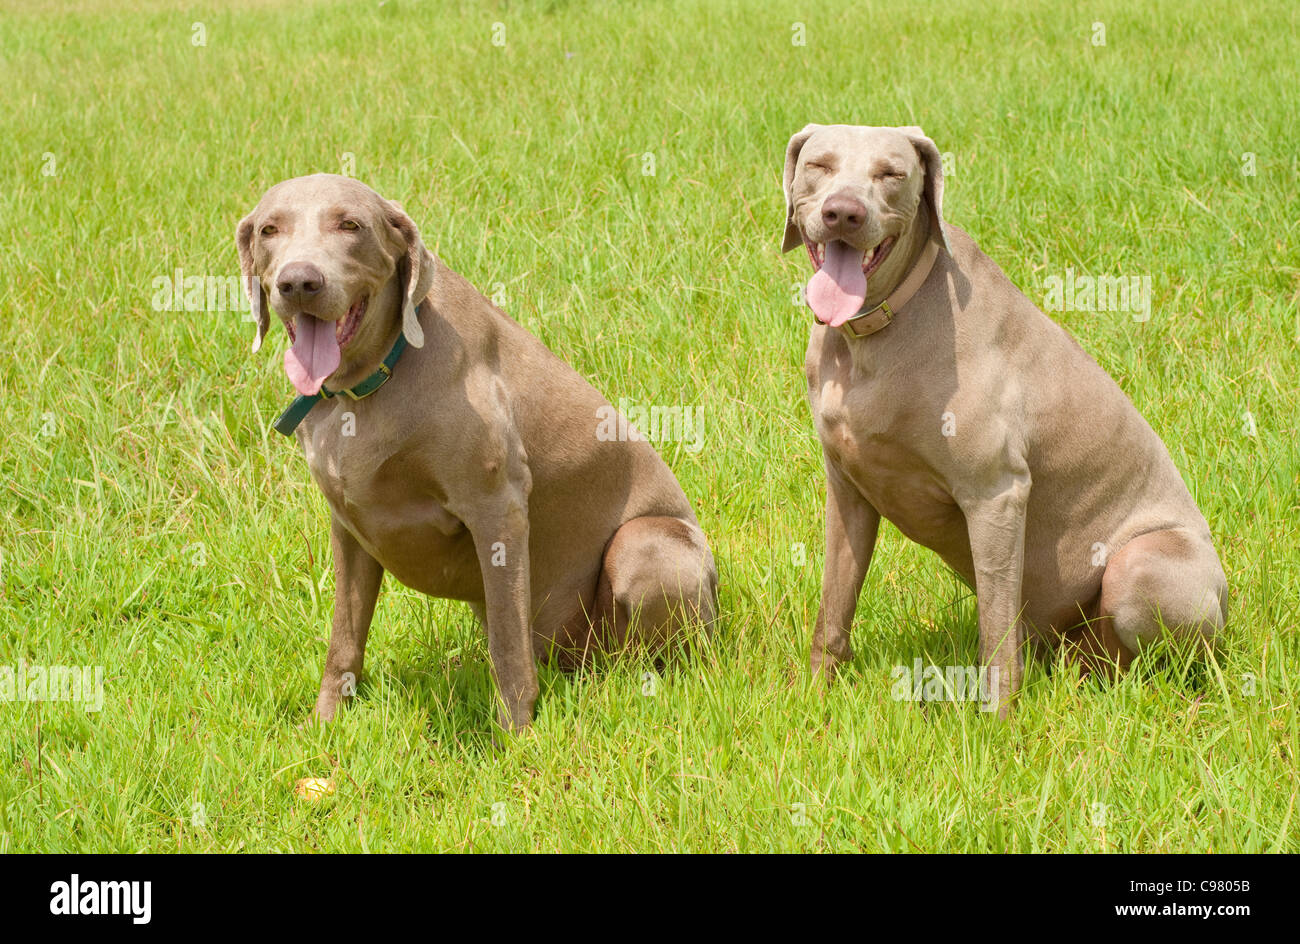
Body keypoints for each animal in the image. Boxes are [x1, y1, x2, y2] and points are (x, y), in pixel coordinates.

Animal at [239, 175, 717, 733]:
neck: (372, 382)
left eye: (350, 225)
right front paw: (326, 725)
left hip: (646, 546)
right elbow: (344, 638)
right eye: (269, 230)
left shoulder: (498, 507)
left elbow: (508, 645)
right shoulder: (348, 524)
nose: (299, 283)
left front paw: (516, 734)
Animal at [780, 127, 1227, 717]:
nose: (843, 214)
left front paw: (997, 721)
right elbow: (834, 606)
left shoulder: (995, 493)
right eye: (819, 165)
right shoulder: (848, 487)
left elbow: (995, 628)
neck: (875, 332)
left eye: (891, 174)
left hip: (1143, 566)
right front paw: (815, 698)